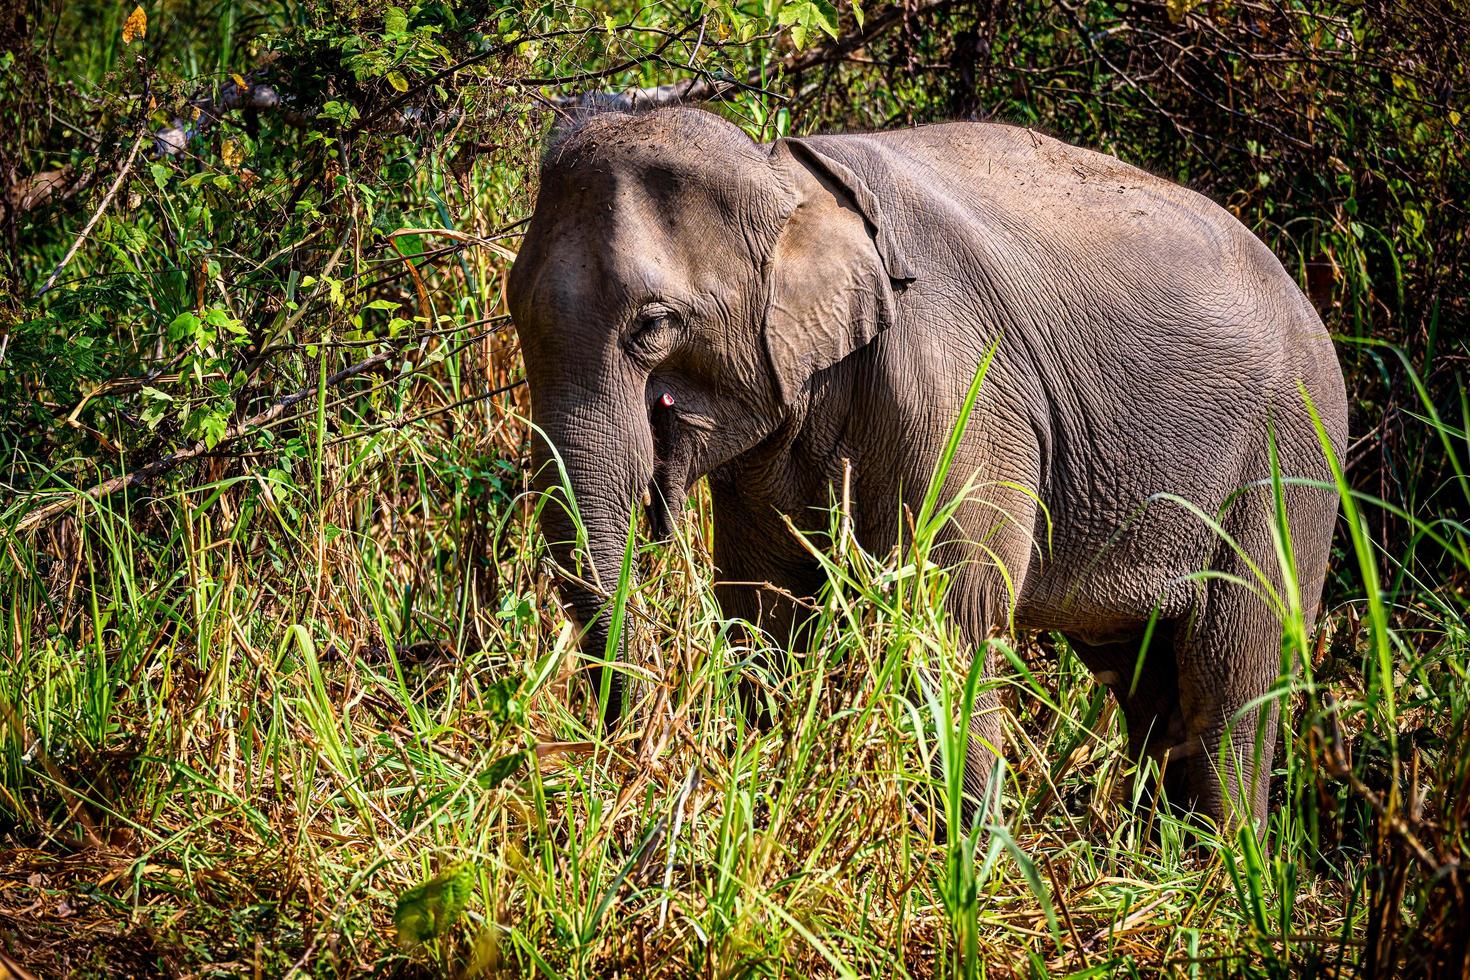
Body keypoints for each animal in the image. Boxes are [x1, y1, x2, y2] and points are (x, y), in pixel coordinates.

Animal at [511, 101, 1346, 834]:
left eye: (653, 324)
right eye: (514, 312)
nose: (629, 767)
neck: (783, 178)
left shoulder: (956, 389)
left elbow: (948, 616)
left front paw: (977, 866)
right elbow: (764, 612)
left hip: (1288, 465)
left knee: (1231, 678)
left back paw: (1224, 871)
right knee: (1144, 680)